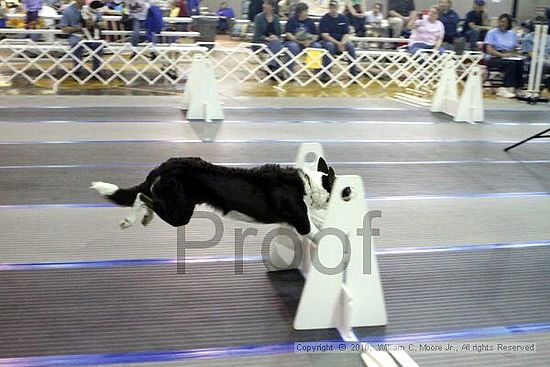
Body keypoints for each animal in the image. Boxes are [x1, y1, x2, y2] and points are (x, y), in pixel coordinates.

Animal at [92, 157, 348, 239]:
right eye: (344, 189)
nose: (351, 193)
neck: (311, 185)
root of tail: (166, 164)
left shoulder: (305, 217)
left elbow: (322, 221)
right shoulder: (302, 224)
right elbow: (322, 233)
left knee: (146, 196)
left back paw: (143, 218)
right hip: (181, 214)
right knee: (141, 196)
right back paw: (131, 220)